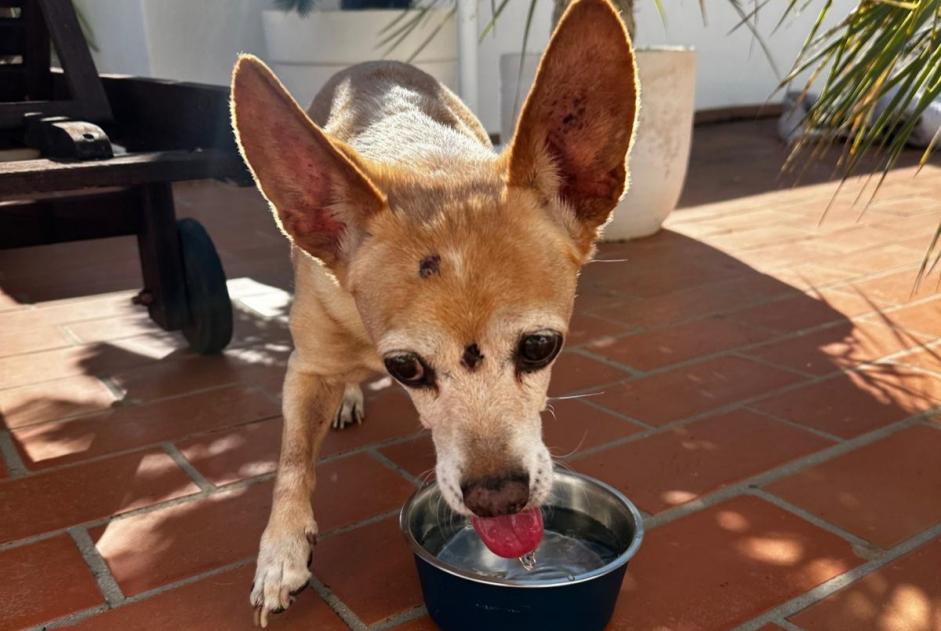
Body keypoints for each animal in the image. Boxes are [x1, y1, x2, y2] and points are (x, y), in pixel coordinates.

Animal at [230, 0, 636, 624]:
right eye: (405, 367)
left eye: (541, 346)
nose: (498, 496)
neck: (425, 158)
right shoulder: (306, 368)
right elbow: (293, 461)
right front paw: (281, 549)